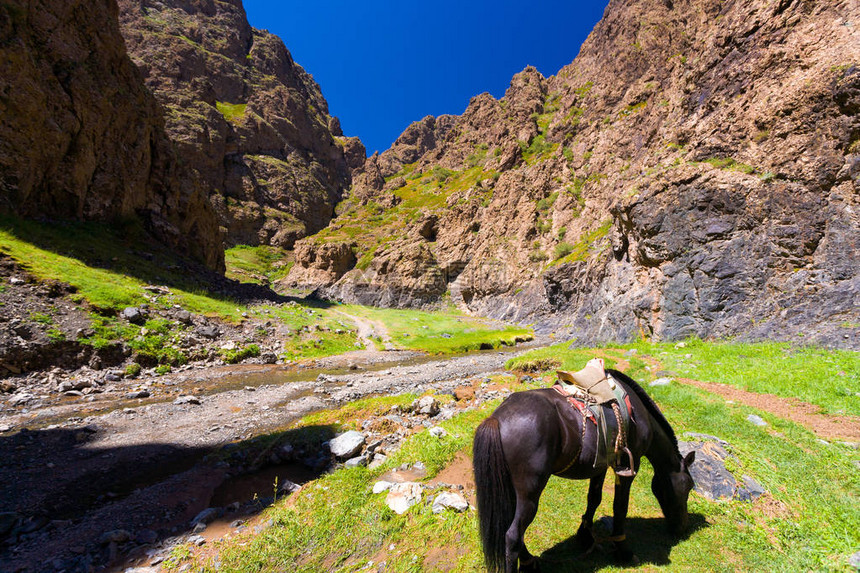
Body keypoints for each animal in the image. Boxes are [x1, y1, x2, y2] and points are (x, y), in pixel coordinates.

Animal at [474, 368, 696, 568]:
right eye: (688, 487)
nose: (682, 528)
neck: (640, 416)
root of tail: (496, 419)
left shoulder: (601, 466)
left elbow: (594, 498)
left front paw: (585, 536)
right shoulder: (628, 468)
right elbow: (620, 507)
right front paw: (623, 551)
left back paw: (530, 560)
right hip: (529, 493)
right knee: (513, 536)